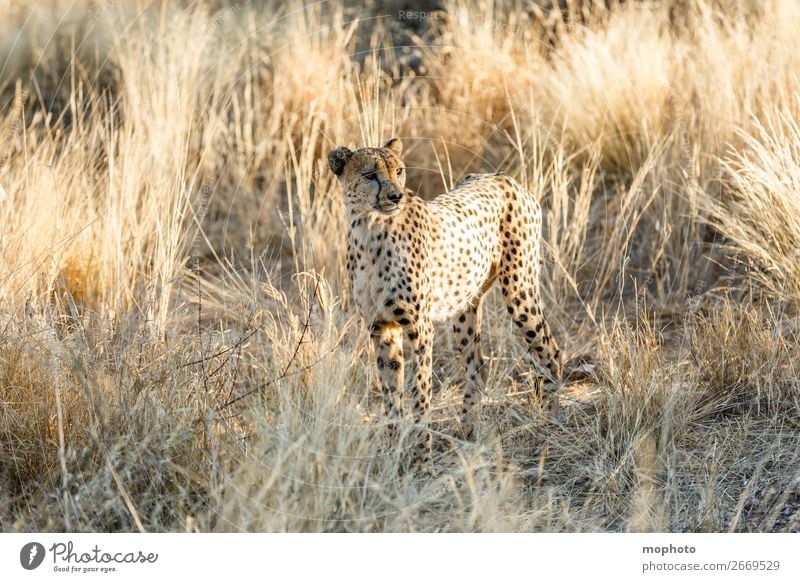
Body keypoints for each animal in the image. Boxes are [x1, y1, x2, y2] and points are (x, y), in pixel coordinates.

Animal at [326, 138, 564, 474]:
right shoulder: (381, 326)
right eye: (370, 174)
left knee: (550, 351)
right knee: (478, 365)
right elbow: (390, 395)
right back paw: (467, 431)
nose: (396, 195)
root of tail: (502, 176)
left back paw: (550, 422)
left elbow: (420, 391)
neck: (370, 229)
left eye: (399, 171)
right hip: (464, 305)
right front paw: (393, 455)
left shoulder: (419, 327)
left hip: (519, 290)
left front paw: (422, 461)